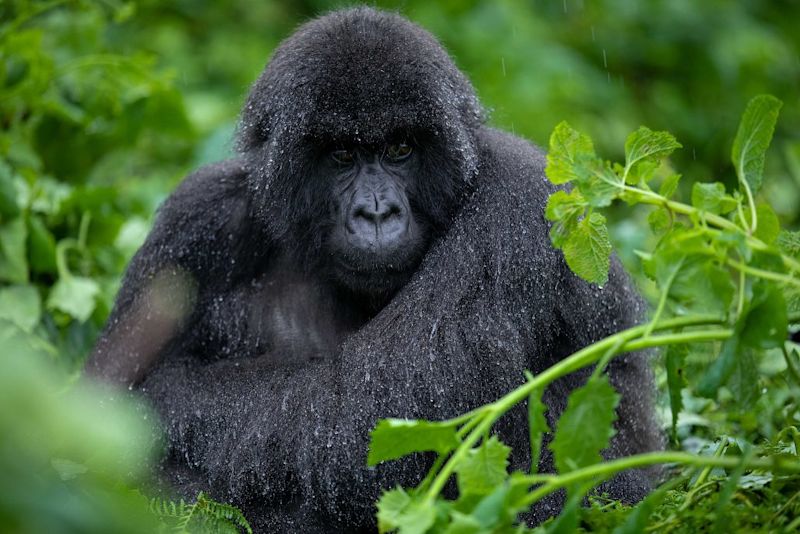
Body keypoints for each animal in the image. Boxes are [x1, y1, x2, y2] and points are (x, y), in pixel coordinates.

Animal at [87, 6, 664, 532]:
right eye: (342, 155)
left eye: (400, 148)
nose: (377, 213)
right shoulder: (197, 220)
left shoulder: (517, 203)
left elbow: (360, 418)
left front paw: (166, 401)